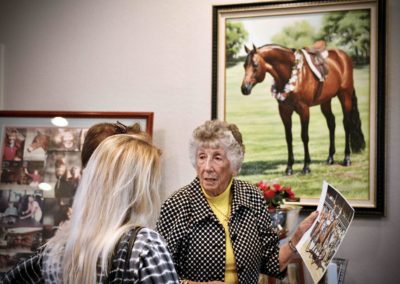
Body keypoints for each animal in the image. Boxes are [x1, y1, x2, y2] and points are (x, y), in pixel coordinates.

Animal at [241, 43, 366, 175]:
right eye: (244, 65)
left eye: (255, 65)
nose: (244, 88)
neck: (291, 74)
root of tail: (343, 56)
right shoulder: (284, 111)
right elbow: (289, 138)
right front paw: (289, 168)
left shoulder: (304, 110)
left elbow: (304, 137)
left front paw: (306, 166)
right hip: (326, 101)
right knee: (331, 123)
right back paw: (330, 158)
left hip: (345, 96)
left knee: (346, 124)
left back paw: (347, 159)